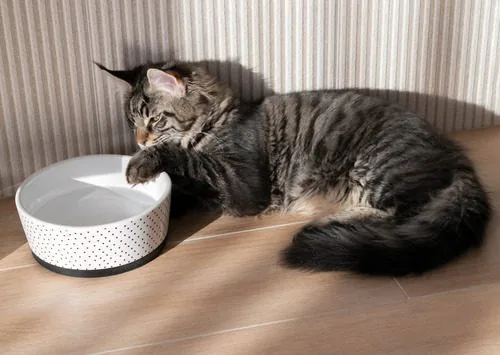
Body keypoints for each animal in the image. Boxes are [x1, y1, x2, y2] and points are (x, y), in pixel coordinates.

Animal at [95, 60, 490, 278]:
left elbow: (184, 160)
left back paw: (329, 224)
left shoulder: (240, 185)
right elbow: (185, 185)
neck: (216, 122)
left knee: (405, 215)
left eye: (155, 120)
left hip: (379, 165)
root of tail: (456, 156)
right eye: (133, 123)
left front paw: (144, 163)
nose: (140, 142)